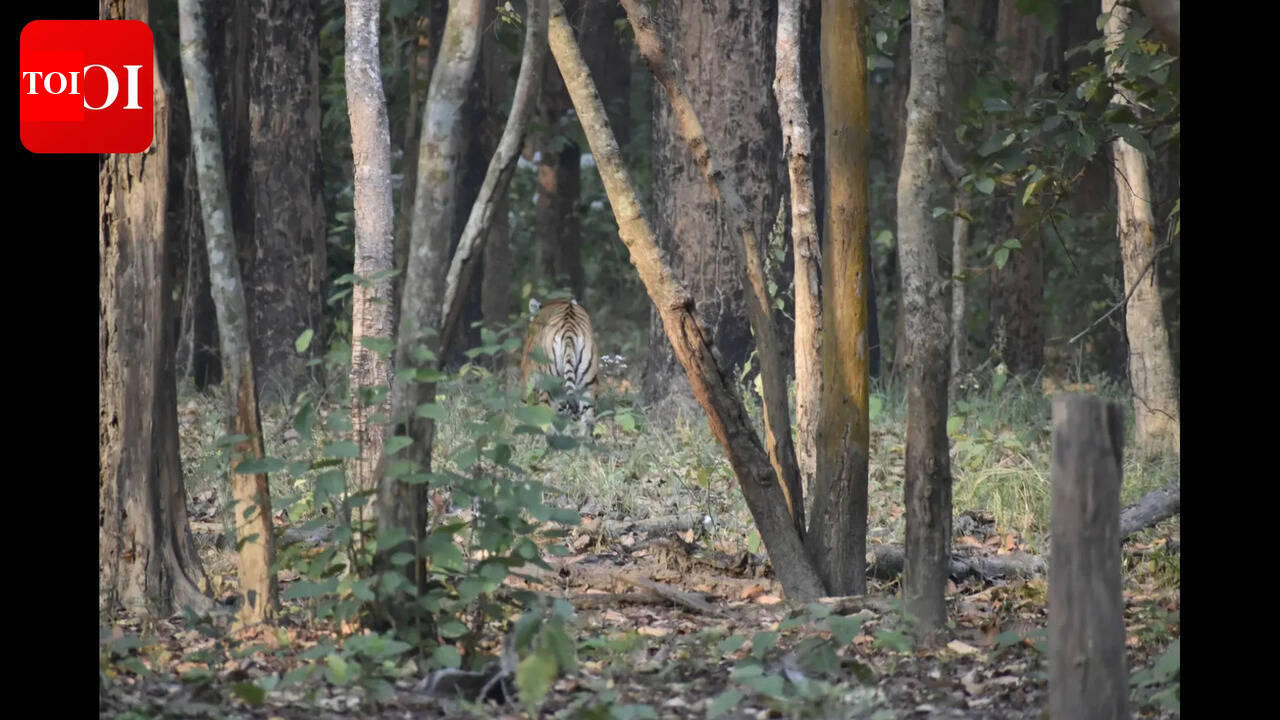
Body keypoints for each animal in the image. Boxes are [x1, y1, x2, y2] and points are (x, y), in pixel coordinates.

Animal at [519, 297, 599, 436]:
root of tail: (569, 331)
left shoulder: (527, 376)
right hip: (589, 388)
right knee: (587, 424)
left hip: (548, 387)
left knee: (546, 420)